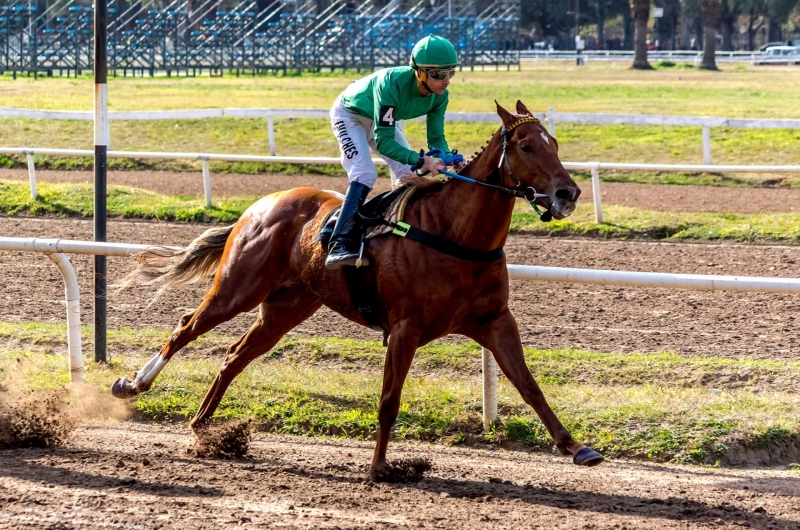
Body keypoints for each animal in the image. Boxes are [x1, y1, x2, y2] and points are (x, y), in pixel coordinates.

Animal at [109, 100, 604, 474]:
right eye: (526, 145)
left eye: (555, 143)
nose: (568, 194)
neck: (455, 234)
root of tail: (258, 205)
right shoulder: (405, 327)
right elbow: (388, 400)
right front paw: (380, 467)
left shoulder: (495, 321)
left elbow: (530, 386)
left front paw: (577, 447)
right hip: (237, 289)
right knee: (185, 327)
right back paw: (132, 385)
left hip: (287, 307)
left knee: (235, 356)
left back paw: (204, 428)